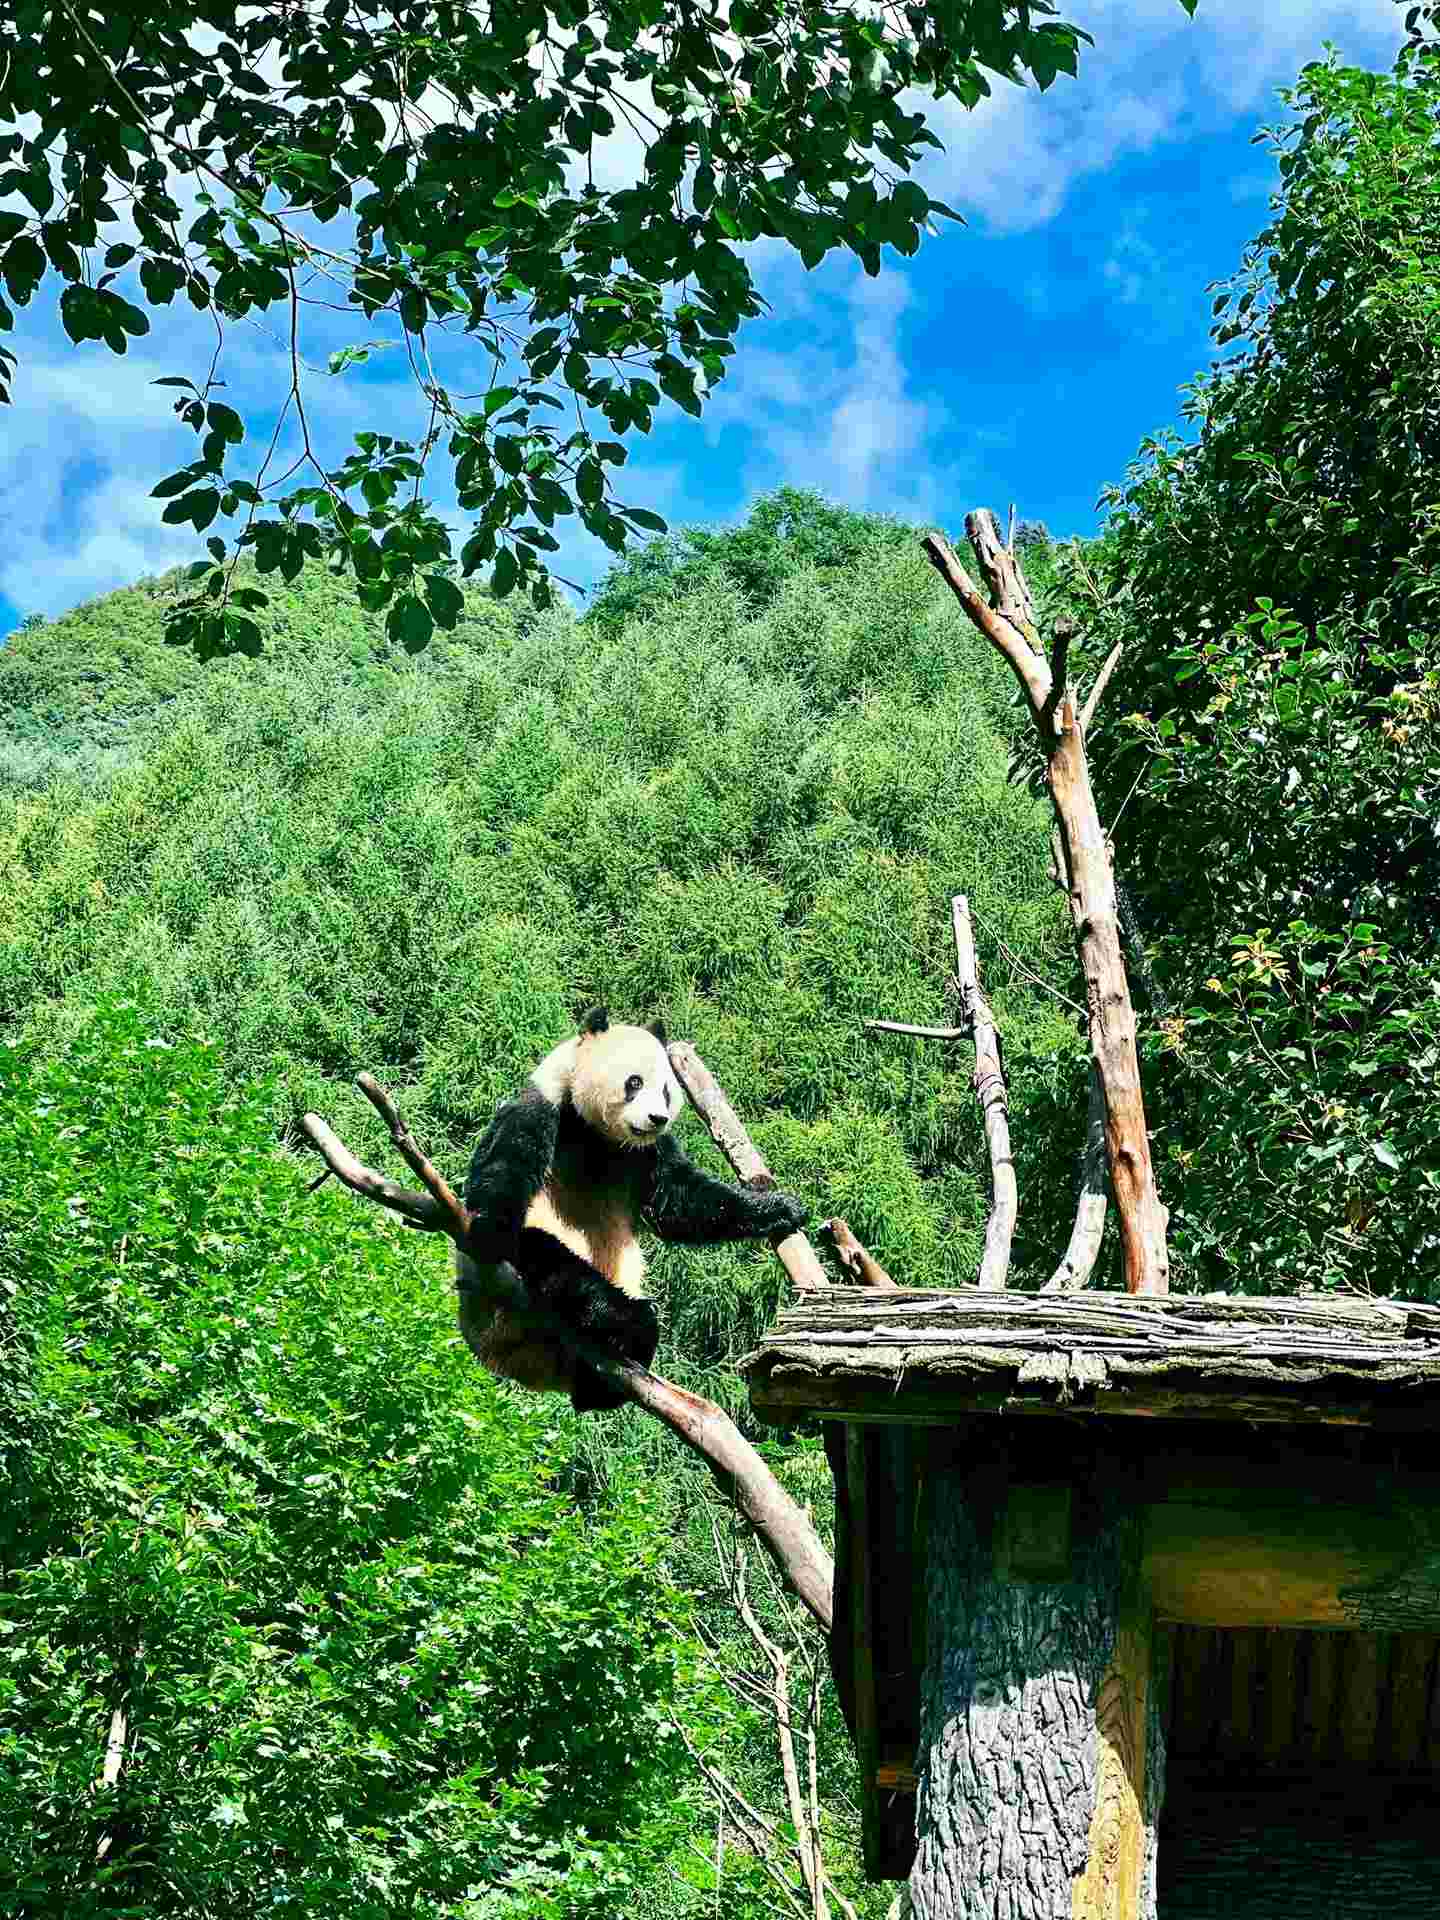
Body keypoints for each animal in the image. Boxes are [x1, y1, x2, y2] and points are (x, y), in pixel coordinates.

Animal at [455, 1007, 810, 1412]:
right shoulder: (543, 1107)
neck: (597, 1133)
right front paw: (491, 1231)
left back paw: (600, 1383)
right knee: (548, 1258)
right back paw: (629, 1322)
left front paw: (780, 1205)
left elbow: (680, 1200)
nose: (657, 1119)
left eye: (667, 1091)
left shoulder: (645, 1151)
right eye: (635, 1082)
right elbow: (505, 1168)